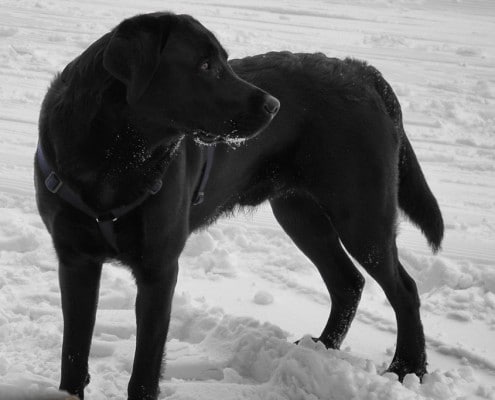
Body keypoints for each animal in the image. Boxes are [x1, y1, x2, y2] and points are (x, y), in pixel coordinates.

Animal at [35, 11, 446, 400]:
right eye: (204, 65)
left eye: (225, 60)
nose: (275, 105)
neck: (113, 159)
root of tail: (361, 70)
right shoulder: (75, 260)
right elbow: (73, 353)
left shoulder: (159, 268)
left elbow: (145, 370)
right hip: (300, 213)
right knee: (348, 282)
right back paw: (322, 347)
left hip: (361, 214)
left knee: (404, 288)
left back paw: (407, 368)